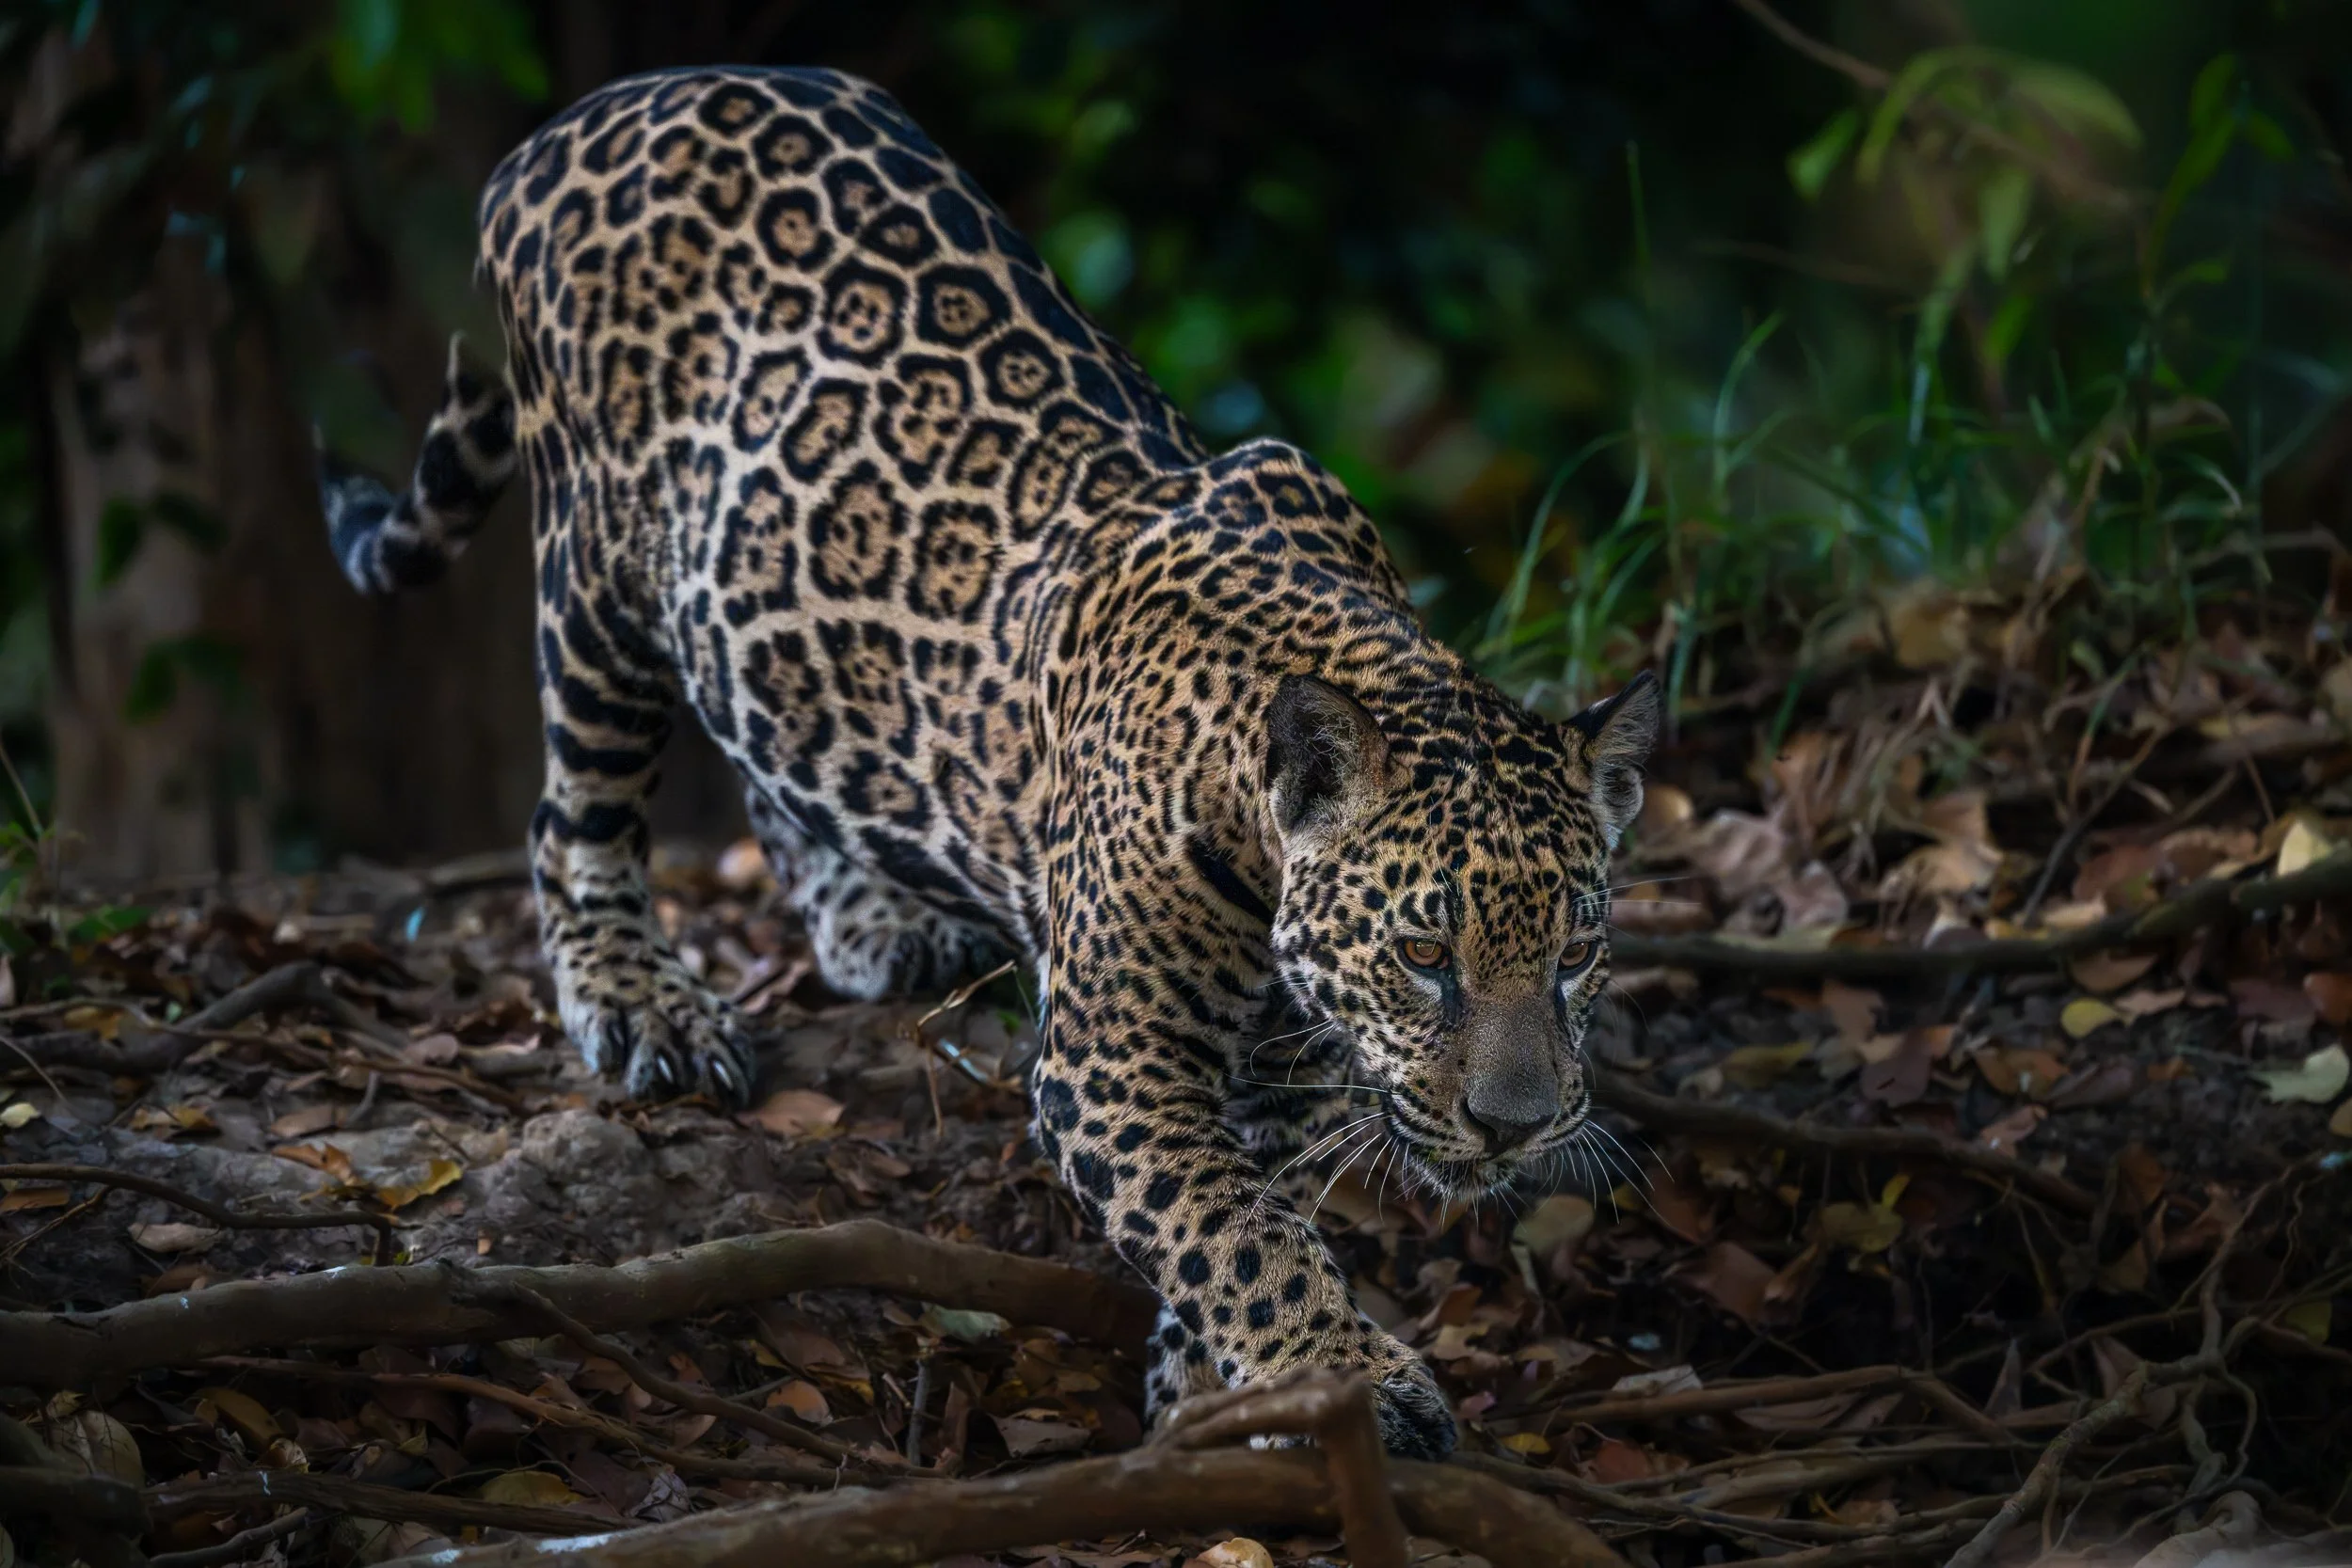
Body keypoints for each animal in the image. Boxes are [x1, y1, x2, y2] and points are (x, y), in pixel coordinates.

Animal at [317, 65, 1659, 1459]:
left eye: (1575, 955)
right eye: (1423, 956)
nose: (1516, 1124)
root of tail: (584, 115)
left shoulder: (1284, 1071)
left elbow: (1251, 1212)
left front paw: (1221, 1387)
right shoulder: (1112, 1064)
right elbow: (1237, 1230)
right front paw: (1346, 1374)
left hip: (759, 601)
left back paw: (873, 921)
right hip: (596, 574)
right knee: (573, 813)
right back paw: (644, 1003)